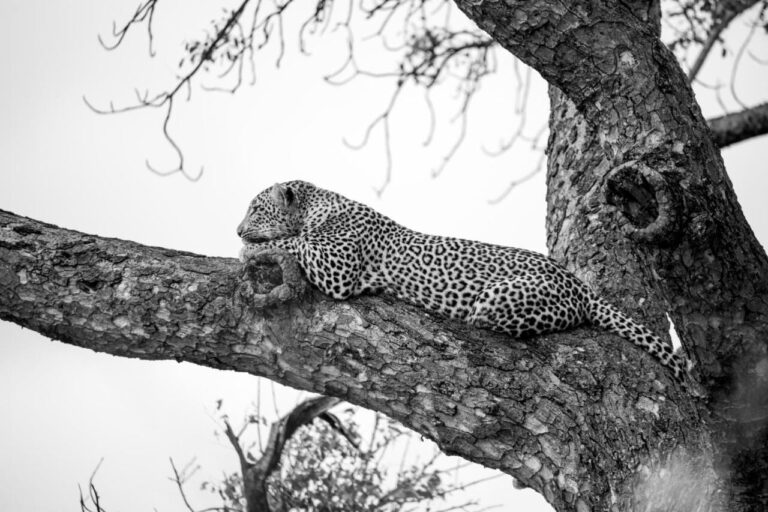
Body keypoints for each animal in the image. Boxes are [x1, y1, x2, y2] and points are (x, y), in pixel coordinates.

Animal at [238, 180, 696, 391]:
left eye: (255, 209)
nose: (238, 228)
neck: (319, 205)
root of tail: (579, 284)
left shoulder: (337, 266)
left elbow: (292, 242)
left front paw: (249, 246)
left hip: (501, 299)